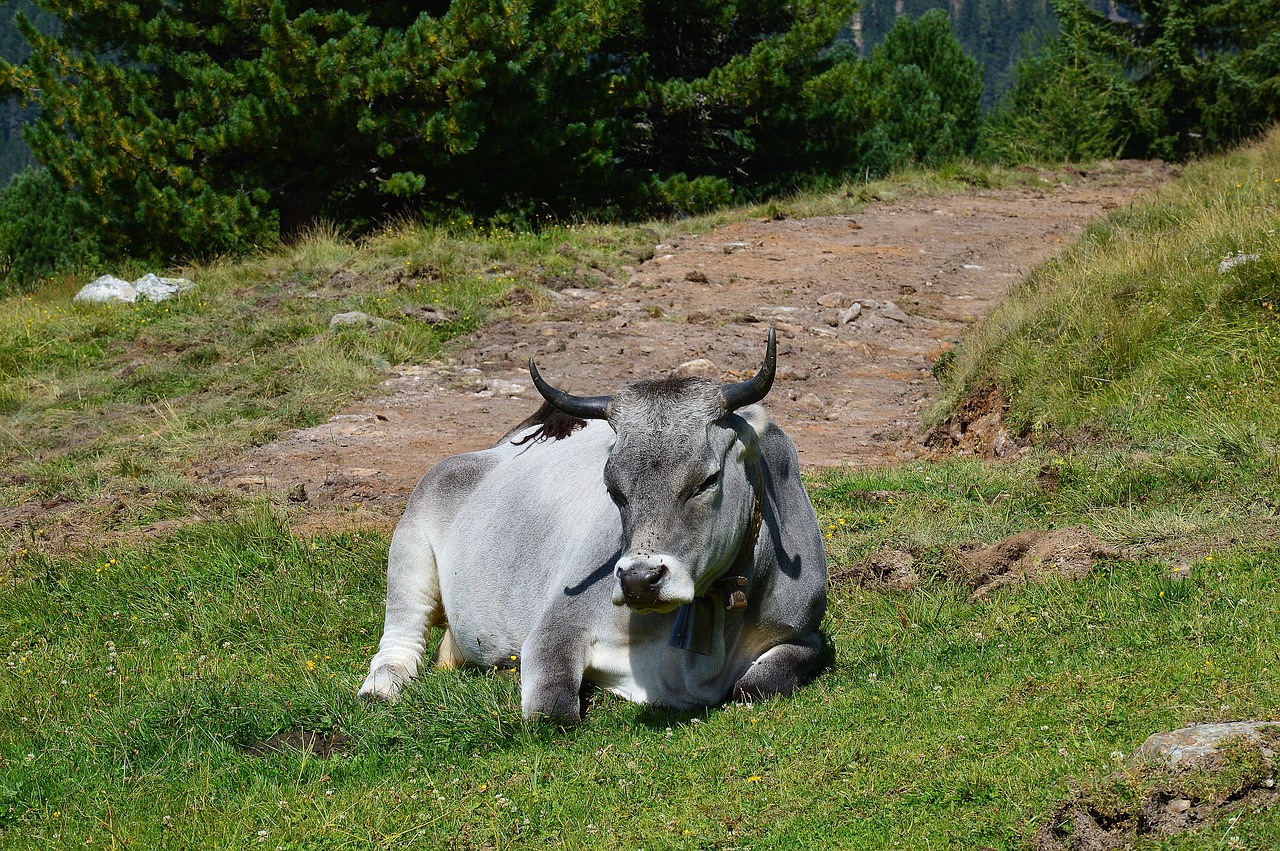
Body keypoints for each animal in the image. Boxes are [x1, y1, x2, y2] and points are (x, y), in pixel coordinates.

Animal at [358, 327, 829, 721]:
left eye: (707, 480)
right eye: (613, 487)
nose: (640, 580)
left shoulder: (807, 635)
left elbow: (758, 685)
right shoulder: (555, 631)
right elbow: (553, 714)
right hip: (411, 544)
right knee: (400, 636)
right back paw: (381, 686)